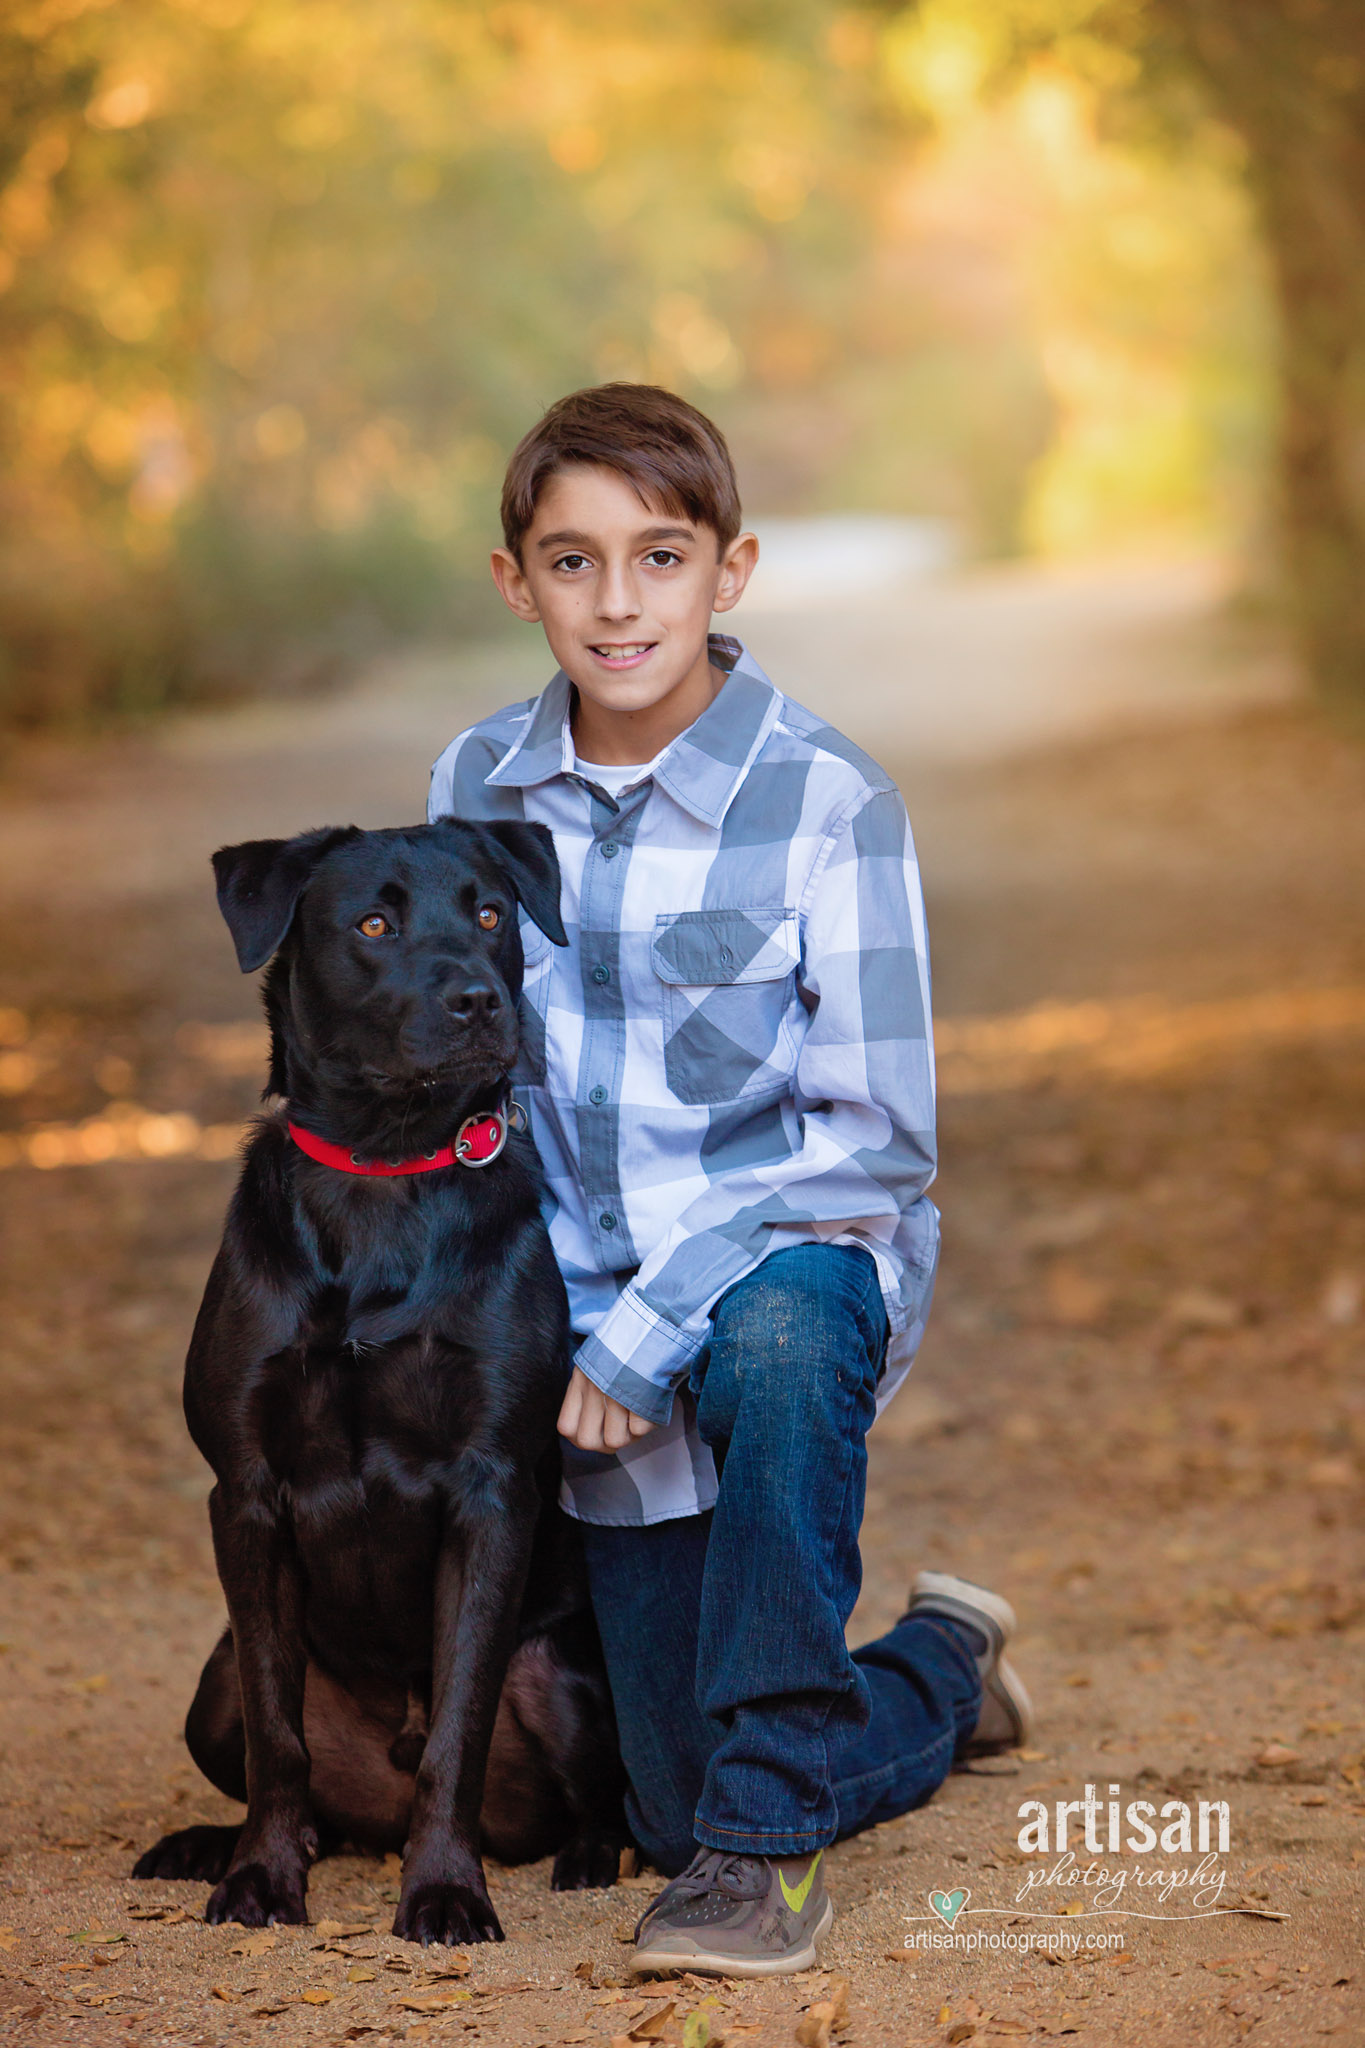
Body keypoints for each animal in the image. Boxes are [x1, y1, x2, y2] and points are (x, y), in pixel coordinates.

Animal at [130, 815, 634, 1933]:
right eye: (373, 924)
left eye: (489, 911)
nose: (480, 999)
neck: (384, 1171)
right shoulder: (245, 1491)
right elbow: (278, 1733)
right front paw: (260, 1875)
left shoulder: (491, 1489)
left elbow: (459, 1722)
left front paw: (444, 1887)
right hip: (208, 1688)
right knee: (282, 1757)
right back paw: (214, 1840)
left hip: (561, 1676)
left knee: (601, 1793)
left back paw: (586, 1856)